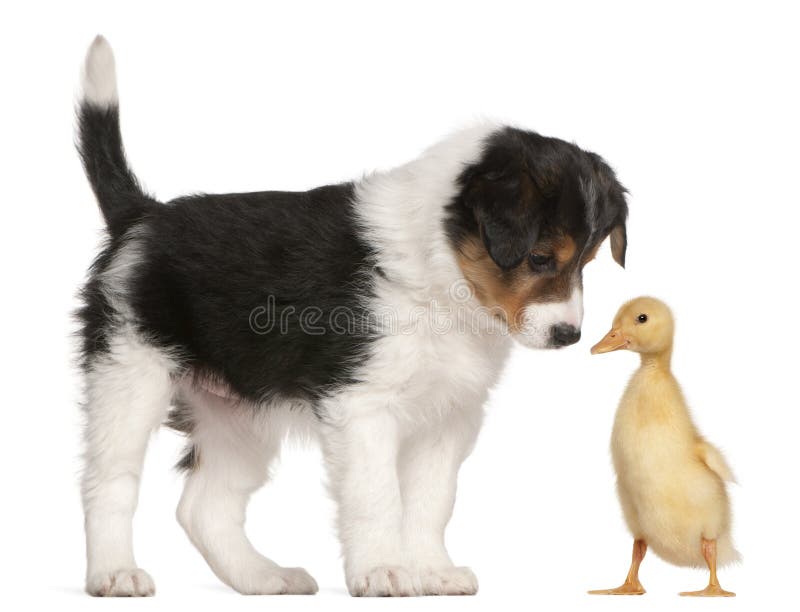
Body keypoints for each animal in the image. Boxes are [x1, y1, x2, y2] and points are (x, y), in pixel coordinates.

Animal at [78, 35, 628, 596]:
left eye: (587, 262)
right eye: (540, 258)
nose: (568, 335)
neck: (438, 270)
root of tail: (142, 217)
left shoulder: (449, 416)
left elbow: (432, 501)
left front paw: (433, 571)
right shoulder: (362, 405)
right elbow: (376, 497)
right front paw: (382, 571)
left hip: (239, 412)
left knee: (204, 506)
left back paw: (266, 578)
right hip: (129, 374)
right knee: (110, 482)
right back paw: (115, 573)